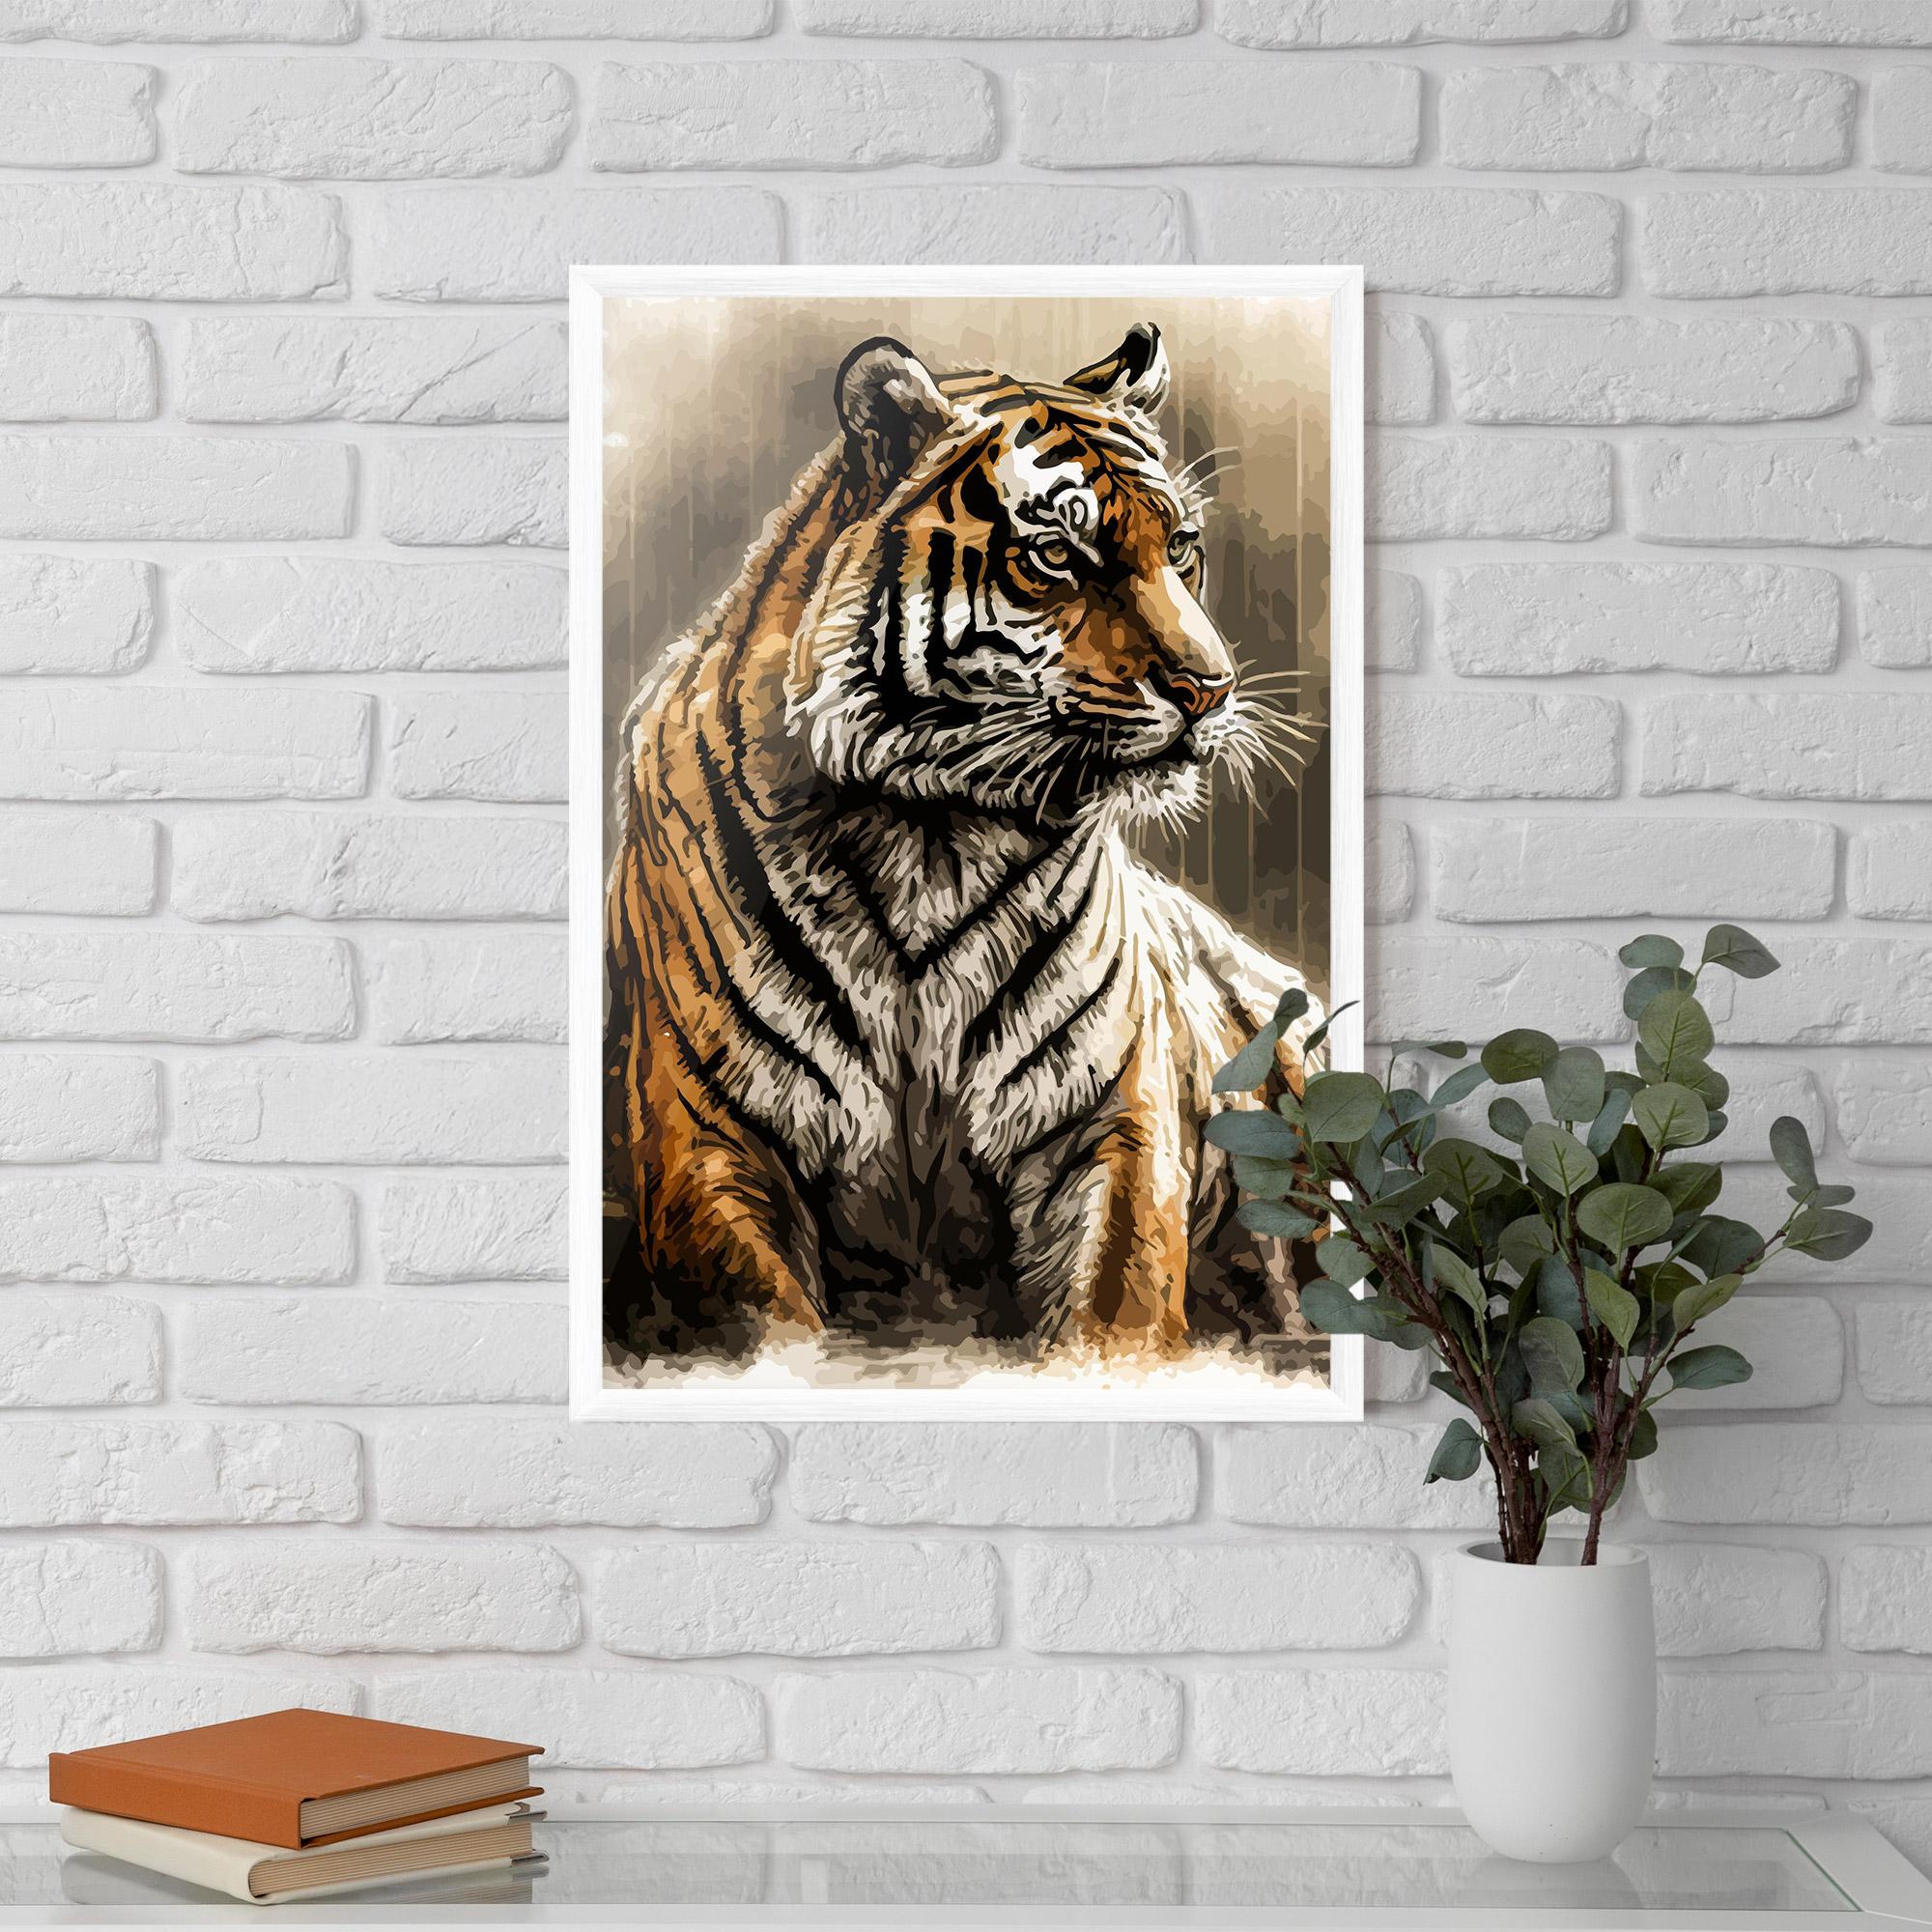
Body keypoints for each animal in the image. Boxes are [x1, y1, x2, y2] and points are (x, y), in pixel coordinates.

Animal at [602, 322, 1324, 1372]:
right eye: (1057, 554)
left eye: (1181, 547)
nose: (1209, 688)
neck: (930, 834)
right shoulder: (709, 1134)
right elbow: (773, 1333)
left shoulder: (1111, 1121)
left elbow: (1112, 1317)